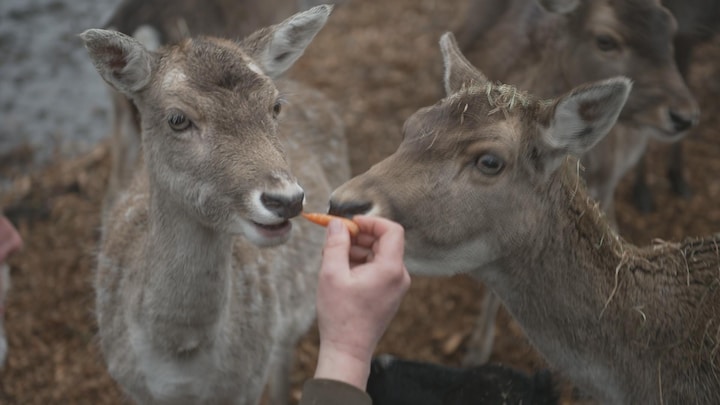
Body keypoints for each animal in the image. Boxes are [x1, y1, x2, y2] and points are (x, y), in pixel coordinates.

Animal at [79, 4, 352, 402]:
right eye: (178, 119)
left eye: (275, 105)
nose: (286, 200)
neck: (180, 368)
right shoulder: (129, 385)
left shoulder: (247, 383)